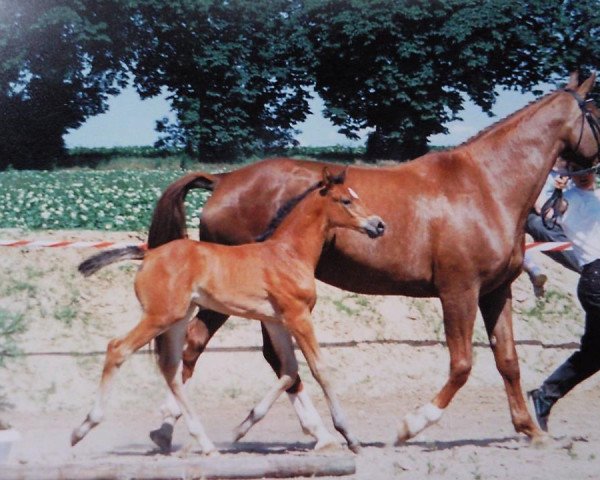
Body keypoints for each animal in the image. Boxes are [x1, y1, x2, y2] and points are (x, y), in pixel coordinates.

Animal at [70, 170, 384, 454]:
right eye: (346, 200)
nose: (379, 225)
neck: (288, 253)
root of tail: (149, 253)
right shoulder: (298, 317)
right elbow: (319, 369)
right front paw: (349, 435)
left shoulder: (276, 321)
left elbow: (289, 370)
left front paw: (243, 427)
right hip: (160, 316)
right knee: (118, 349)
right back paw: (82, 428)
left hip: (178, 318)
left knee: (170, 368)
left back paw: (203, 443)